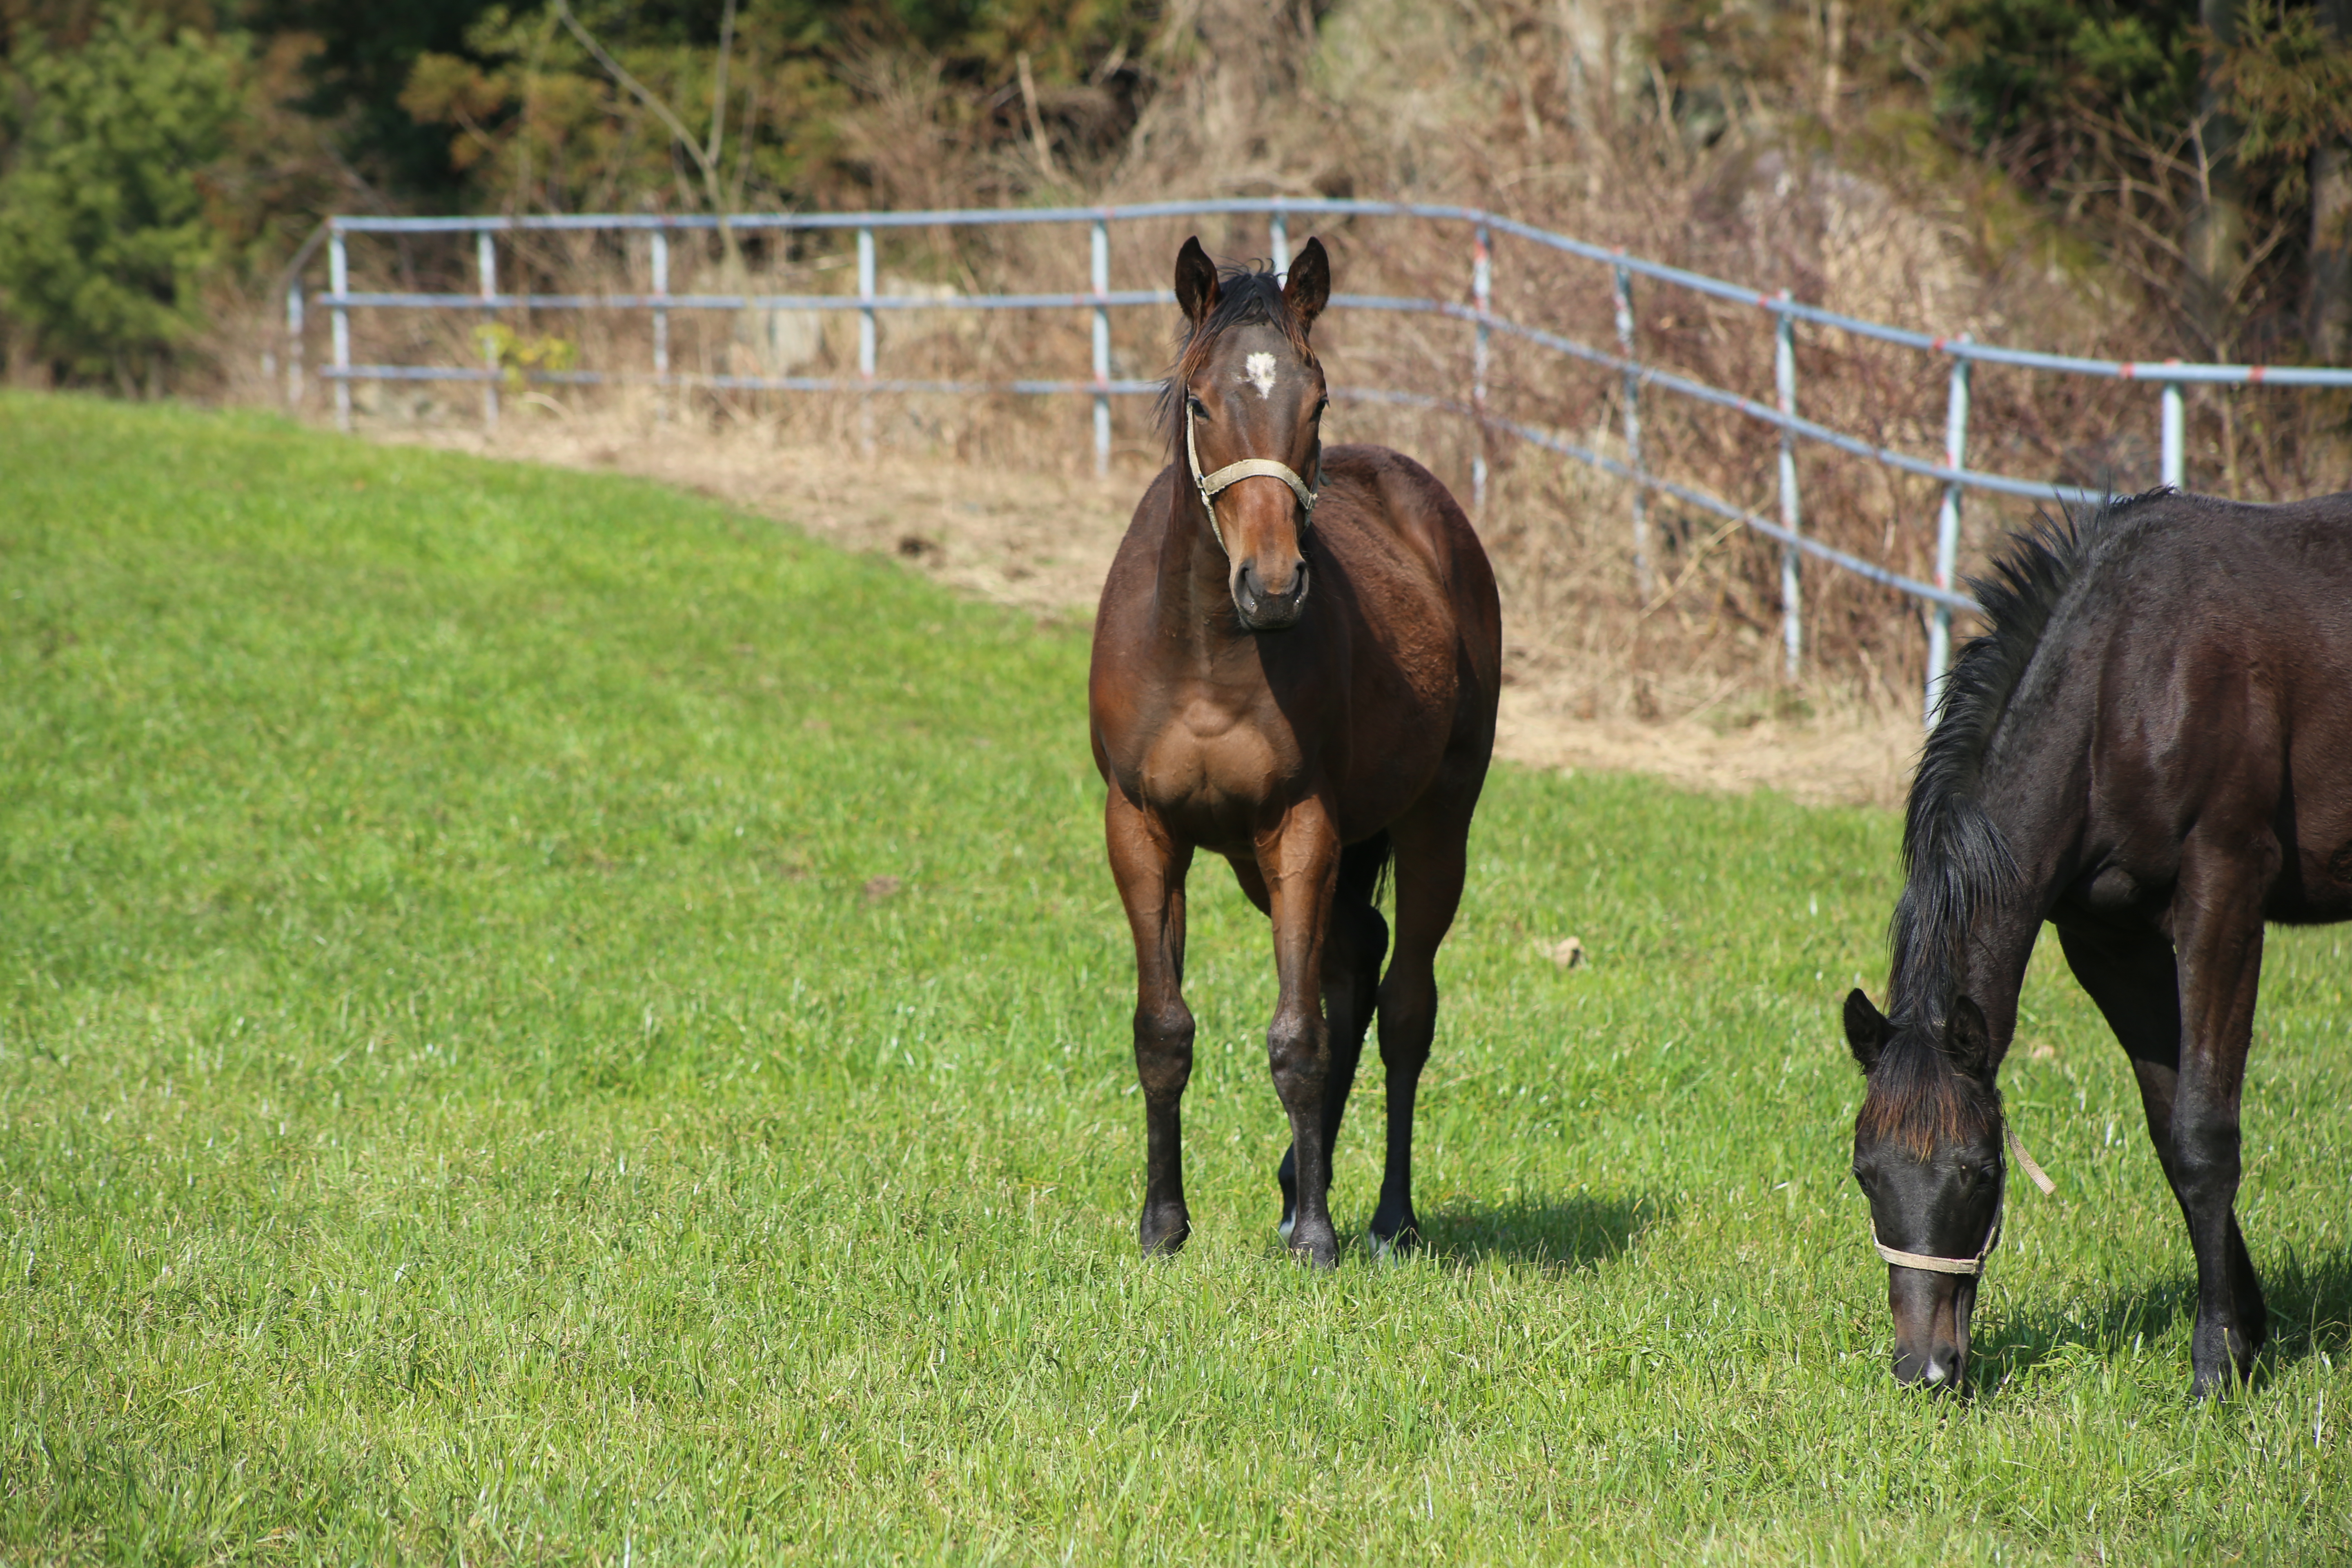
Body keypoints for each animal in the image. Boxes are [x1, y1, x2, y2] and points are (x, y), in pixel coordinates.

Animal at [1087, 240, 1496, 1269]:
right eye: (1200, 402)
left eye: (1316, 401)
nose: (1272, 586)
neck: (1204, 654)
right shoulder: (1141, 829)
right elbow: (1162, 1029)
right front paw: (1162, 1223)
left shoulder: (1301, 829)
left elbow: (1297, 1036)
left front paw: (1316, 1235)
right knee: (1356, 961)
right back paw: (1291, 1186)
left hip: (1434, 824)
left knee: (1403, 1006)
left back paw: (1386, 1216)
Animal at [1844, 491, 2352, 1401]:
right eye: (1867, 1173)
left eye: (1980, 1172)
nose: (1926, 1370)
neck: (2128, 681)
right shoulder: (2107, 944)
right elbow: (2169, 1130)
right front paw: (2245, 1331)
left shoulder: (2225, 891)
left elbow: (2205, 1134)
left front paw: (2215, 1366)